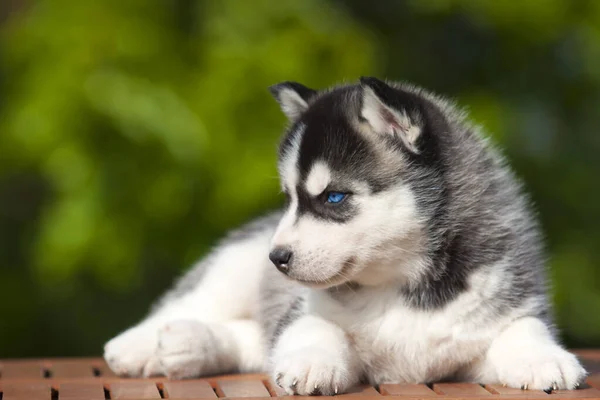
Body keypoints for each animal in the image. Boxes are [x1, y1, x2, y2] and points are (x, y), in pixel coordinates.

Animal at [103, 77, 584, 394]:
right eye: (290, 198)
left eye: (334, 197)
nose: (276, 258)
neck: (401, 283)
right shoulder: (298, 312)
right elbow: (317, 328)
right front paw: (313, 363)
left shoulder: (503, 310)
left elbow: (523, 328)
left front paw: (546, 359)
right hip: (232, 267)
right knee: (190, 302)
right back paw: (138, 346)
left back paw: (186, 345)